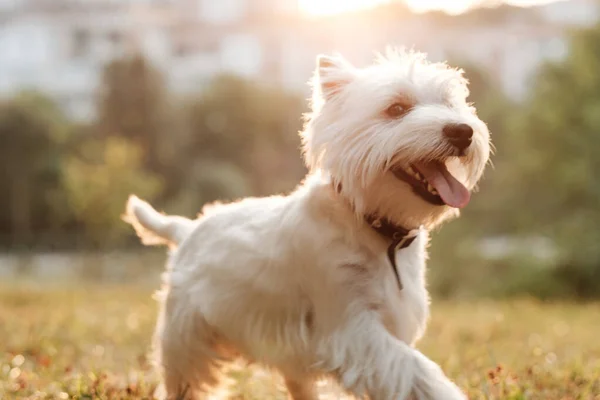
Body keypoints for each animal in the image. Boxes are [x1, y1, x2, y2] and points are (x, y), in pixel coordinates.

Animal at [124, 47, 490, 400]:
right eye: (397, 108)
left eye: (448, 103)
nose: (463, 131)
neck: (374, 227)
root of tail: (185, 229)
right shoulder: (351, 327)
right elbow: (415, 370)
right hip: (186, 336)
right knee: (182, 382)